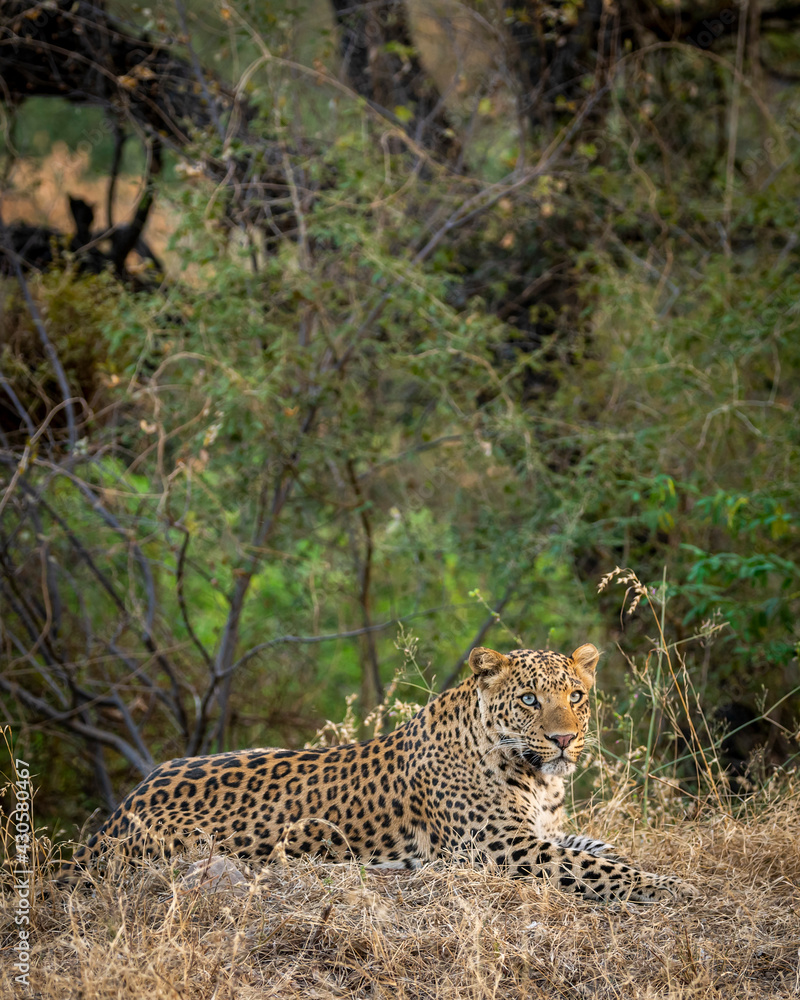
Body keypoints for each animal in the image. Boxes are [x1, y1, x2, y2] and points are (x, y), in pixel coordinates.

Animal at [60, 642, 694, 903]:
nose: (565, 739)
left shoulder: (540, 832)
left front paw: (649, 867)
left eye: (577, 696)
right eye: (531, 700)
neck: (538, 776)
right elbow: (596, 867)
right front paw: (673, 887)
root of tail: (119, 812)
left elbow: (600, 848)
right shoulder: (504, 849)